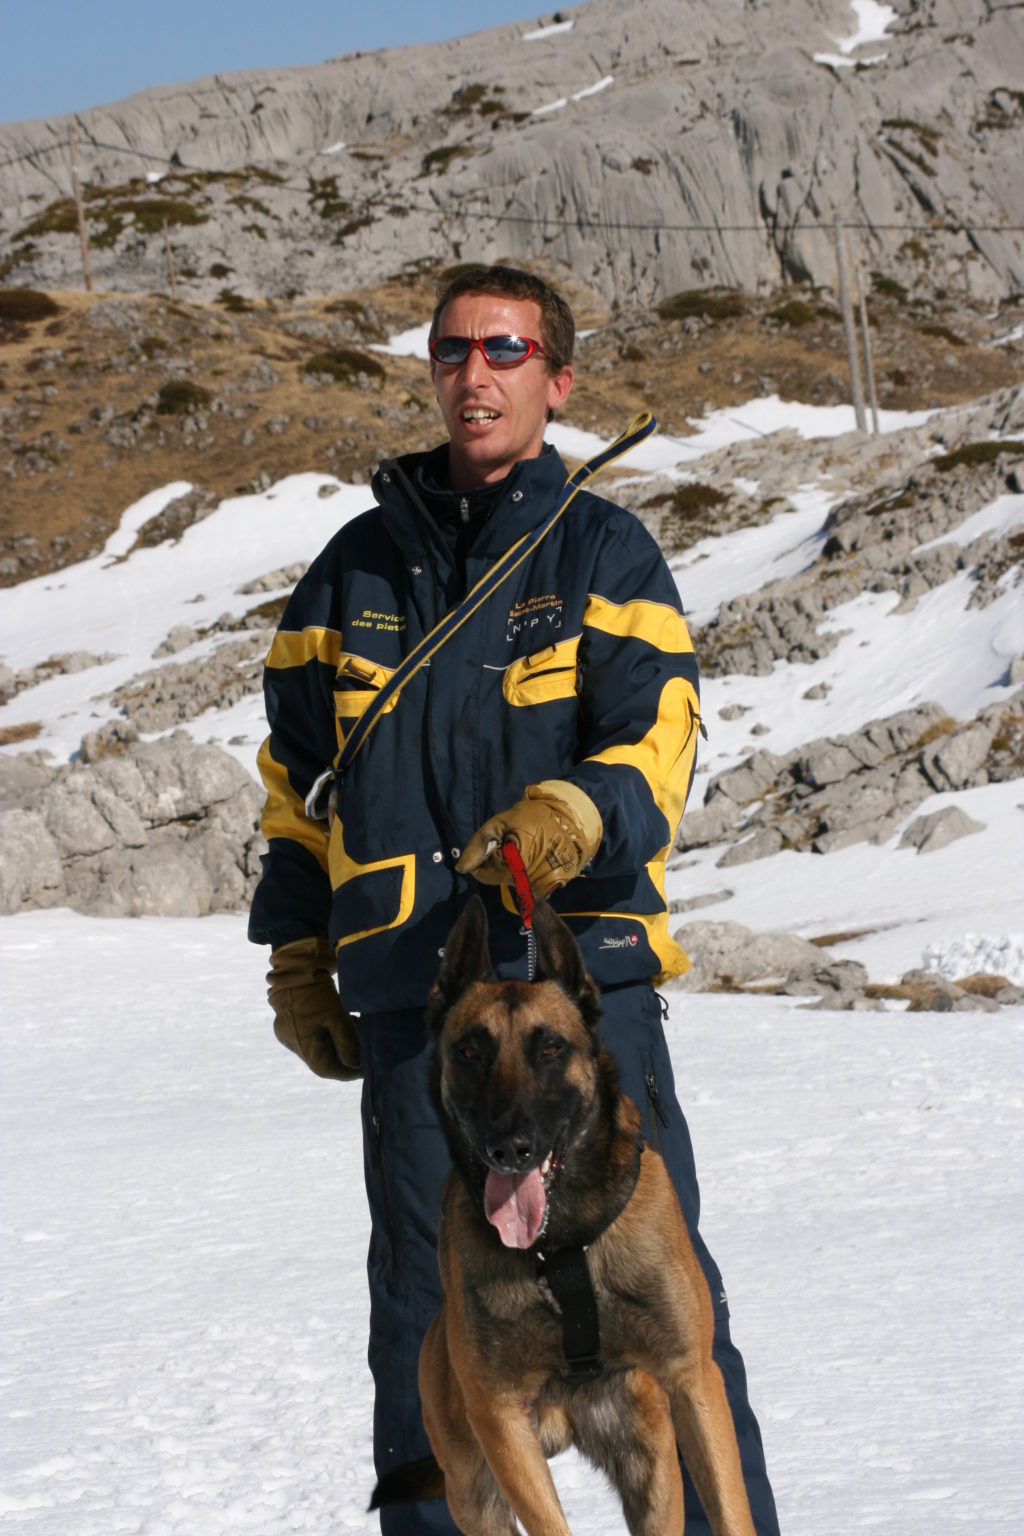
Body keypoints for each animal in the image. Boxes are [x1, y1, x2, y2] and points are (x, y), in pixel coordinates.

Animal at [370, 895, 756, 1536]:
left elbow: (730, 1509)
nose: (510, 1148)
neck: (564, 1244)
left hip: (647, 1455)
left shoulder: (693, 1382)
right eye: (469, 1052)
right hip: (475, 1488)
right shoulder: (501, 1421)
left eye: (550, 1047)